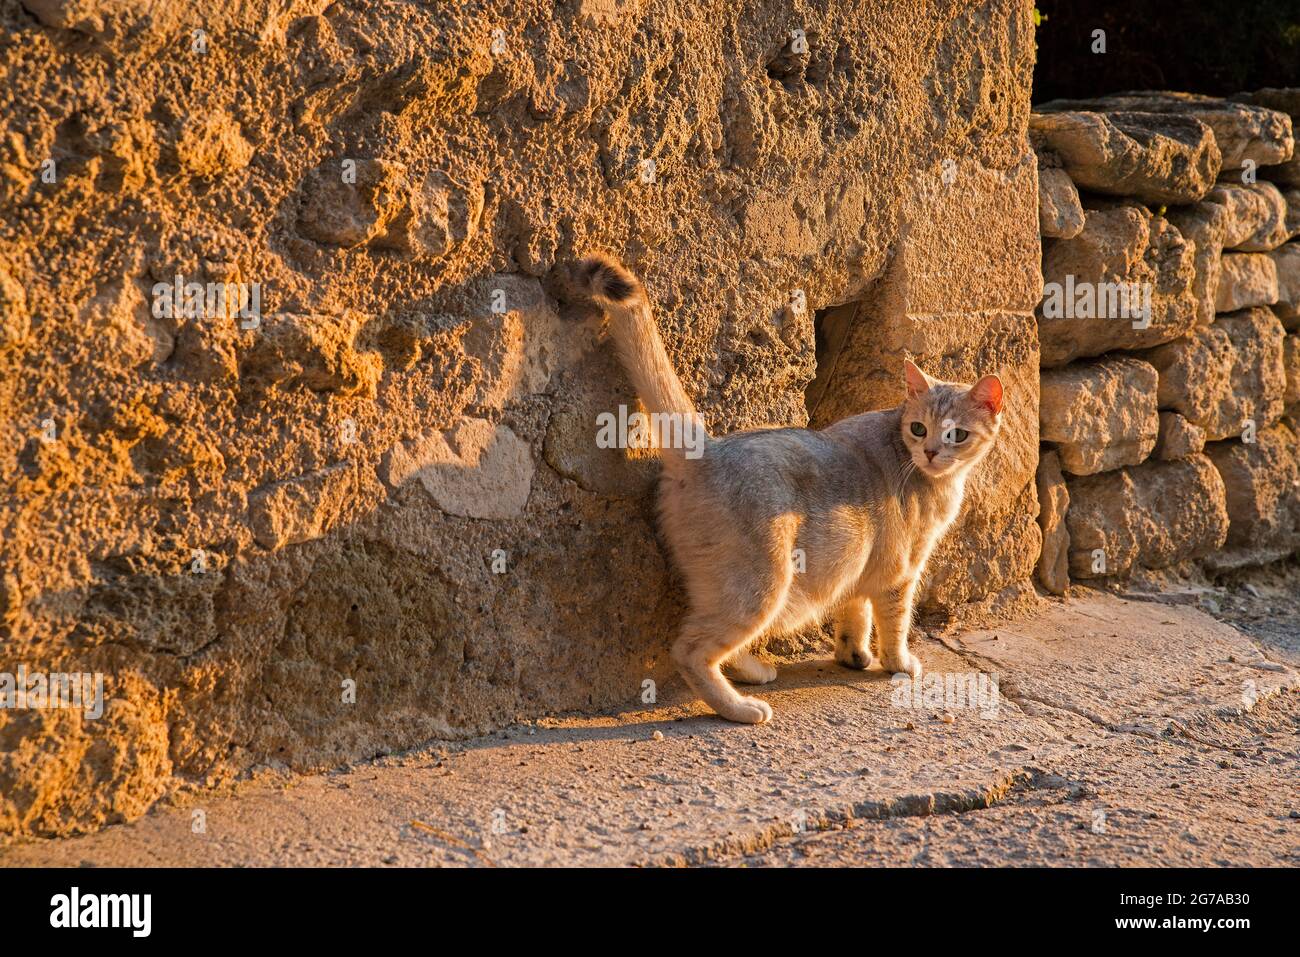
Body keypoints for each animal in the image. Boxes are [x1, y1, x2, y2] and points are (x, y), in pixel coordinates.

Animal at [577, 254, 1003, 722]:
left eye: (956, 435)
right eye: (919, 428)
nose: (930, 452)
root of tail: (709, 449)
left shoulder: (857, 569)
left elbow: (854, 614)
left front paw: (853, 655)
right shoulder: (901, 573)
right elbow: (894, 625)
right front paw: (899, 663)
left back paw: (753, 673)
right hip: (763, 584)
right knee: (690, 649)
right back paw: (740, 708)